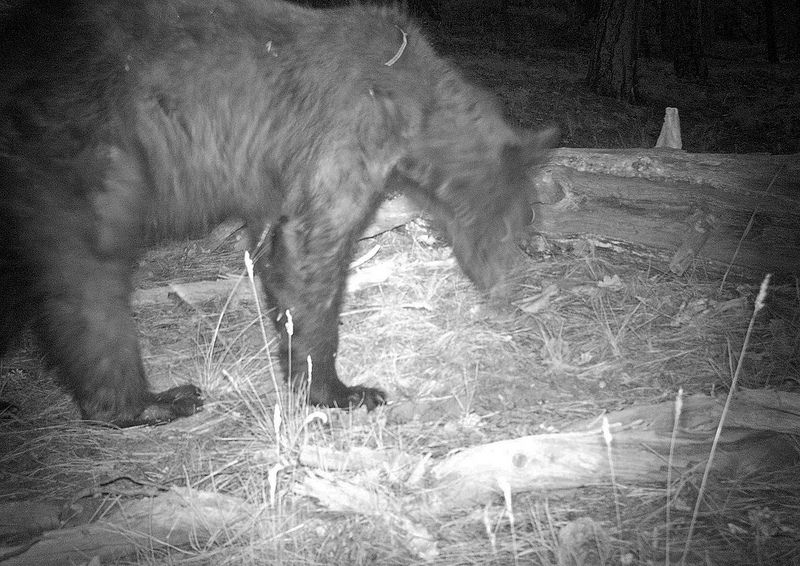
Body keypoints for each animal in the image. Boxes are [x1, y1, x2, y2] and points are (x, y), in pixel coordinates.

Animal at [1, 0, 556, 426]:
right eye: (520, 221)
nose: (508, 290)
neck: (415, 103)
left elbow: (275, 247)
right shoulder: (347, 129)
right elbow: (314, 246)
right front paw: (342, 392)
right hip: (81, 161)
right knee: (89, 281)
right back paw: (151, 402)